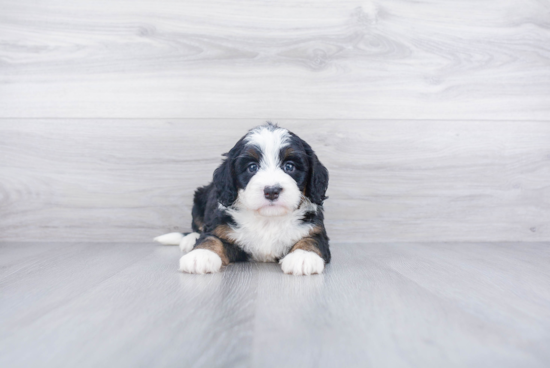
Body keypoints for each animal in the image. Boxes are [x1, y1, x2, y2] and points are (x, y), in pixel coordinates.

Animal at [153, 123, 330, 276]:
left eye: (289, 166)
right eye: (252, 167)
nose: (271, 191)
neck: (268, 220)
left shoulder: (315, 229)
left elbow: (311, 240)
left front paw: (303, 257)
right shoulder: (221, 227)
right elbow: (211, 238)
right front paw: (200, 255)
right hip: (200, 198)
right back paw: (190, 239)